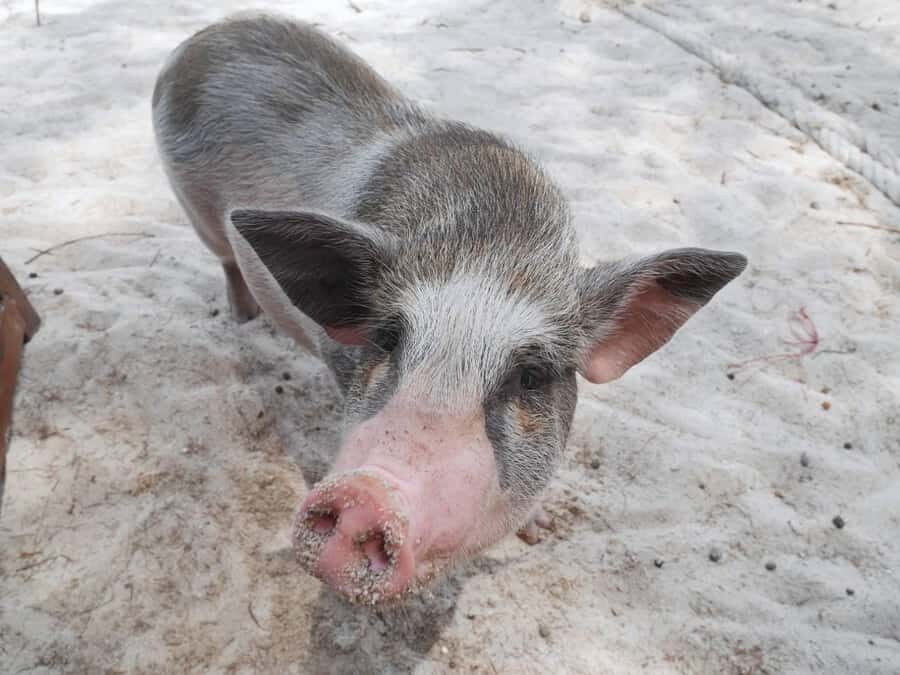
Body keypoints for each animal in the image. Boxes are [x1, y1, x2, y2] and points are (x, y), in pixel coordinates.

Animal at [151, 13, 747, 604]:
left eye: (531, 377)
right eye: (388, 341)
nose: (365, 493)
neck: (488, 245)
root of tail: (203, 37)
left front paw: (541, 529)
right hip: (198, 216)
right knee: (228, 262)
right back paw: (243, 321)